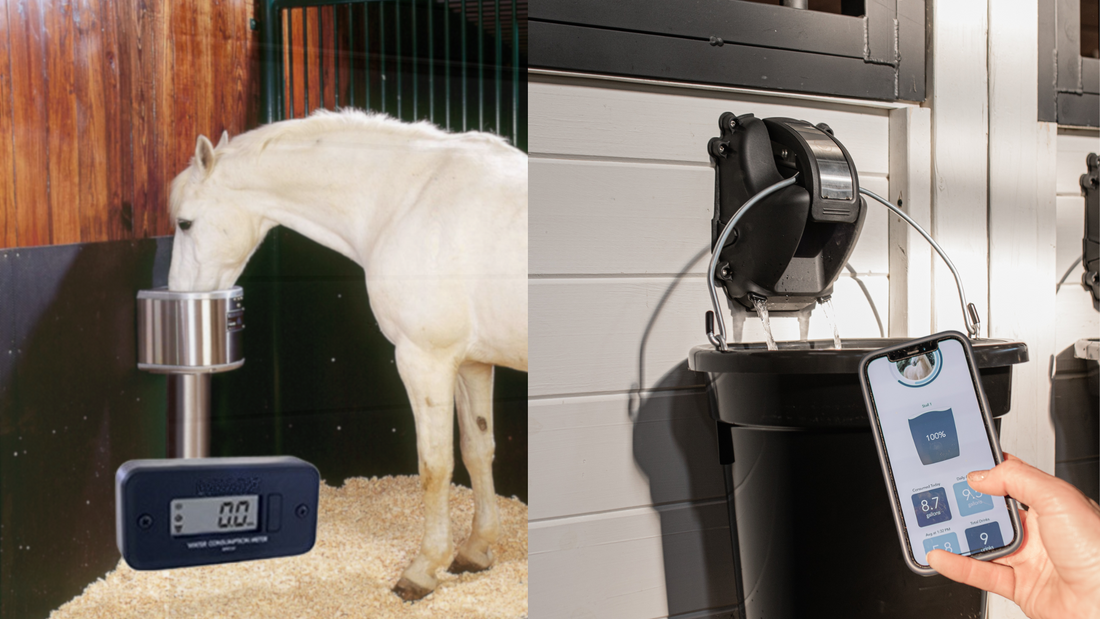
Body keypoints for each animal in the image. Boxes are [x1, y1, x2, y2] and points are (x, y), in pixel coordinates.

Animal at [166, 109, 528, 601]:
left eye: (185, 223)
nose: (179, 298)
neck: (408, 198)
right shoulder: (470, 362)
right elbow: (477, 450)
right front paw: (475, 550)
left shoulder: (424, 360)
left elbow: (434, 465)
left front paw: (422, 570)